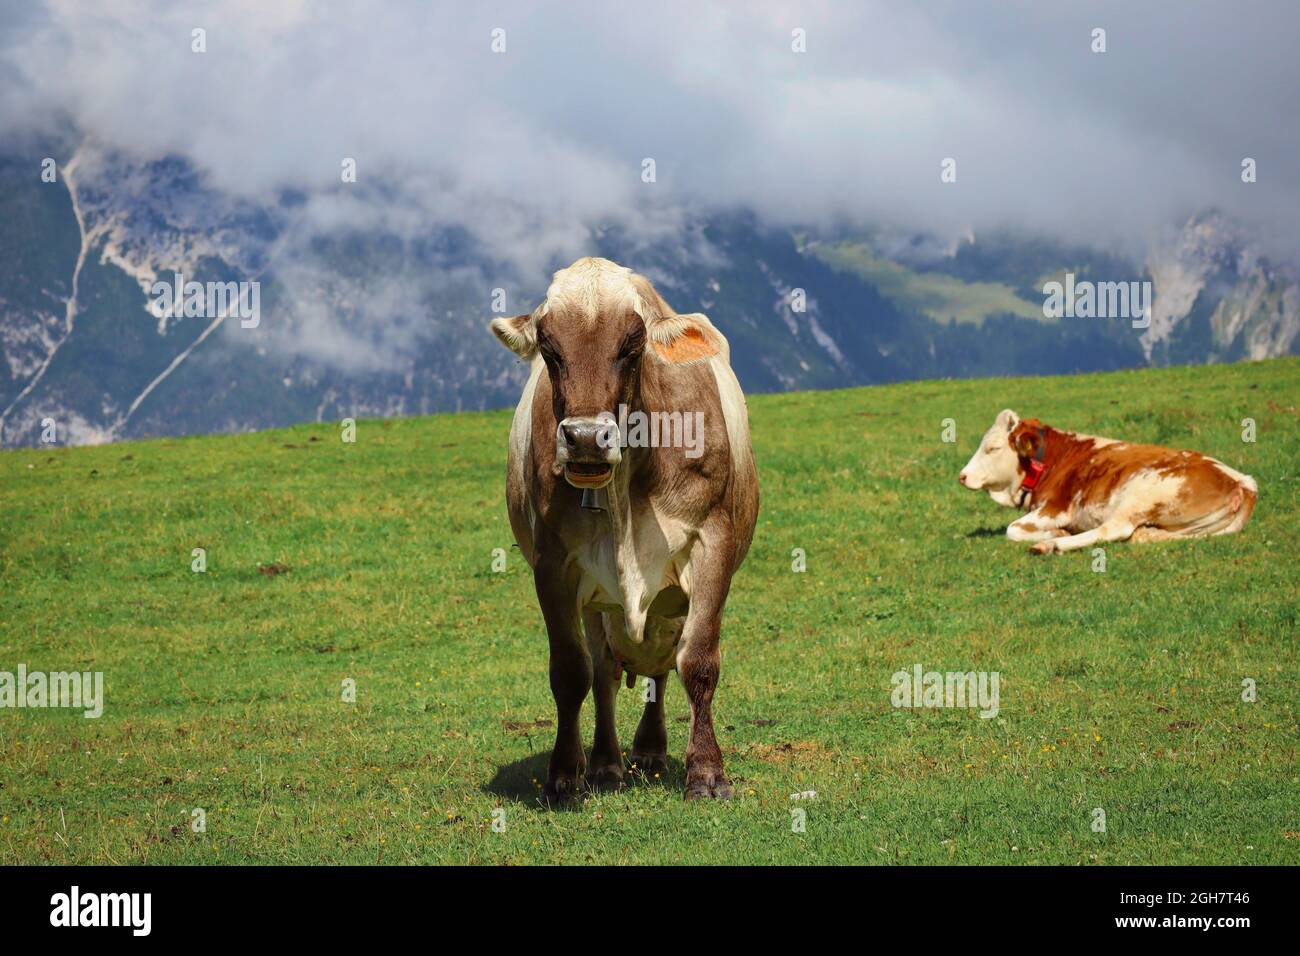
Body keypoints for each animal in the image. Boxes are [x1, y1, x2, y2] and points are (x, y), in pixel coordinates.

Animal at [488, 257, 759, 806]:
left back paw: (652, 750)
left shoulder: (712, 545)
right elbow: (571, 671)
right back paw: (608, 764)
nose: (586, 439)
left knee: (660, 662)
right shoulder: (553, 563)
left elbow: (698, 661)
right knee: (606, 673)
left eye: (632, 347)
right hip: (599, 605)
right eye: (549, 348)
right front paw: (565, 776)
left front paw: (708, 774)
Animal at [961, 408, 1253, 554]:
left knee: (1113, 529)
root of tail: (1241, 482)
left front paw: (1057, 534)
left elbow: (1012, 530)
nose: (962, 475)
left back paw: (1051, 545)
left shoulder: (1055, 508)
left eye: (993, 448)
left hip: (1140, 494)